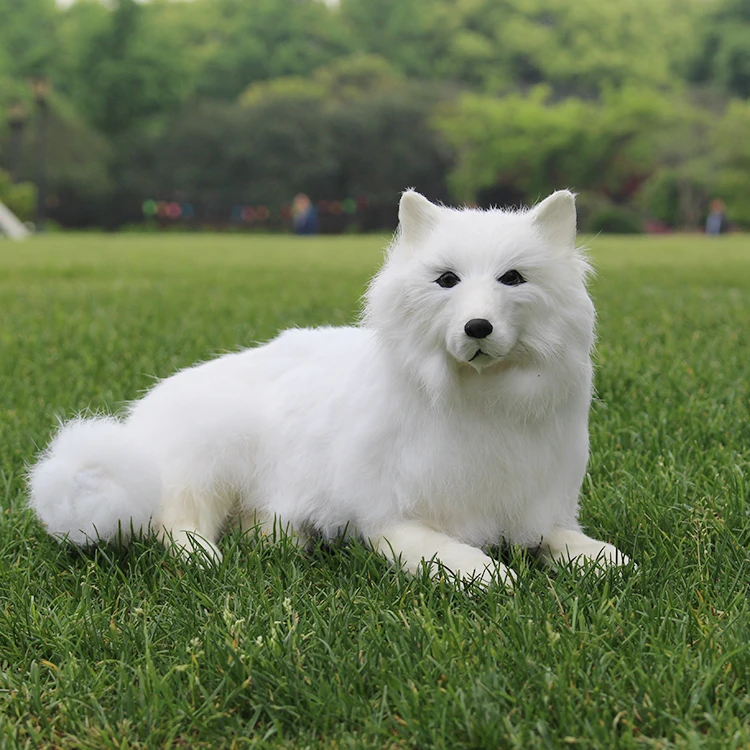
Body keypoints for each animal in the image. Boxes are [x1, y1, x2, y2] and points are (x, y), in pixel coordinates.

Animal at [29, 189, 632, 588]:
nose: (477, 328)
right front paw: (486, 573)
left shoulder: (533, 506)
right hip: (214, 455)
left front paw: (602, 558)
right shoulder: (391, 520)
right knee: (173, 523)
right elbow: (451, 554)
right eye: (447, 281)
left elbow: (561, 539)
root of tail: (138, 425)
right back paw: (206, 558)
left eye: (513, 278)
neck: (478, 399)